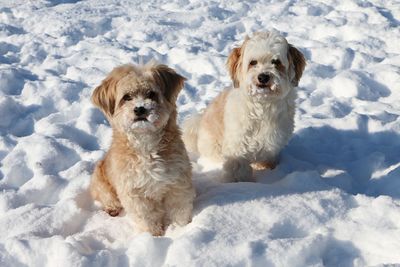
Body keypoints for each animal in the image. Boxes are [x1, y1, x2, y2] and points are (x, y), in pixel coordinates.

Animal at [91, 62, 197, 237]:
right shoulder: (134, 193)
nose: (140, 109)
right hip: (101, 182)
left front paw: (180, 229)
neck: (146, 144)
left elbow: (179, 210)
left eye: (151, 94)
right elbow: (147, 218)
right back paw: (112, 209)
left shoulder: (178, 182)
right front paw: (154, 236)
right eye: (127, 97)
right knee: (108, 198)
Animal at [184, 30, 306, 182]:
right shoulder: (238, 146)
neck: (263, 106)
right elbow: (238, 168)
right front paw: (240, 184)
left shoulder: (272, 146)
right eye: (253, 62)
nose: (263, 77)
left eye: (276, 62)